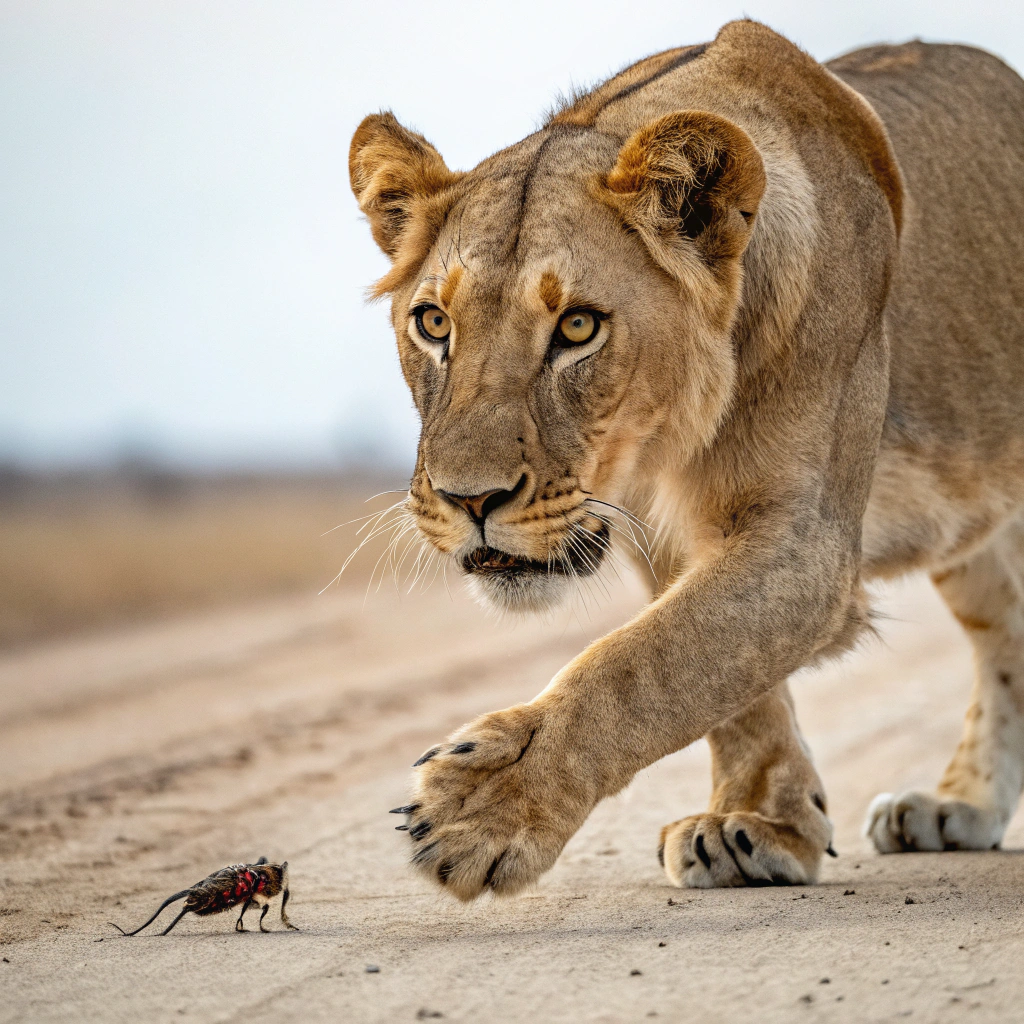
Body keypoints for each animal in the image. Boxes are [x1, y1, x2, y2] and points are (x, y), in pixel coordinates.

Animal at [348, 20, 1024, 899]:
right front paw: (762, 821)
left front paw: (487, 806)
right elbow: (720, 682)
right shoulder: (657, 528)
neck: (671, 441)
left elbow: (648, 664)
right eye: (433, 323)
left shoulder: (804, 544)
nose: (471, 500)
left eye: (577, 327)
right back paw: (961, 808)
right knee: (1003, 634)